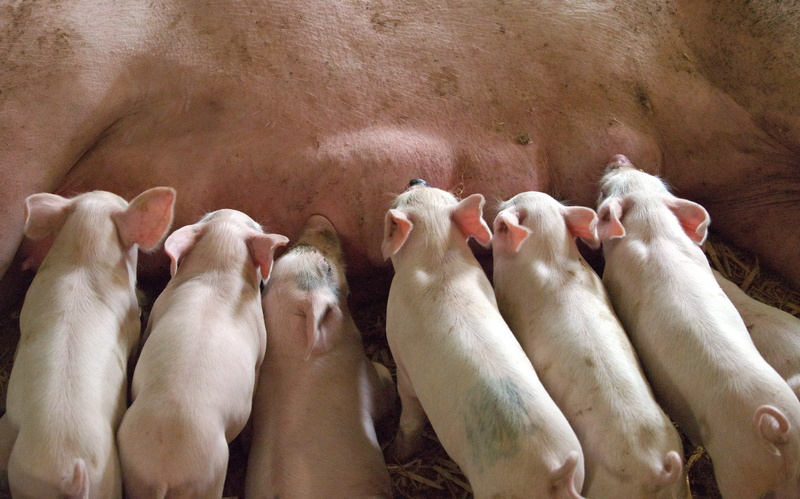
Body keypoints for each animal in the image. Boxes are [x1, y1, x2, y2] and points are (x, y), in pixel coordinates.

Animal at [116, 209, 288, 498]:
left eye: (208, 216)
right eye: (252, 224)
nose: (233, 209)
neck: (217, 271)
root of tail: (164, 474)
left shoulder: (157, 311)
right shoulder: (260, 344)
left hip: (133, 470)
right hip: (209, 478)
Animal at [382, 182, 585, 498]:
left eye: (400, 204)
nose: (416, 179)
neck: (436, 259)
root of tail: (555, 472)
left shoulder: (401, 359)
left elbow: (410, 410)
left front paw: (396, 453)